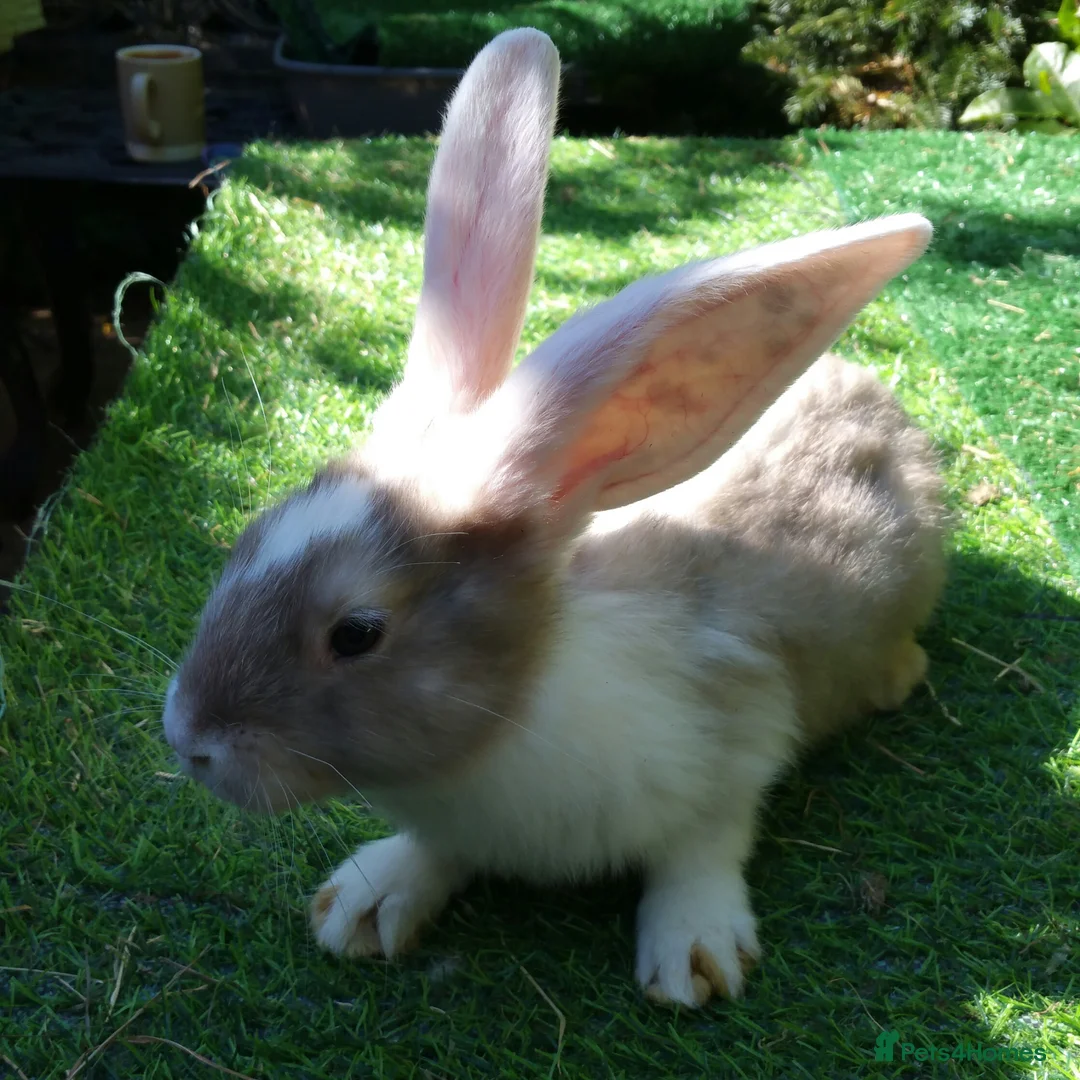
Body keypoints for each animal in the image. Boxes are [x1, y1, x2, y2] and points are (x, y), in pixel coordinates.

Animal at [161, 27, 946, 1008]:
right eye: (250, 537)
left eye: (358, 633)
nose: (188, 741)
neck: (517, 712)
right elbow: (433, 853)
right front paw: (366, 903)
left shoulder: (737, 734)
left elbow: (704, 846)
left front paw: (691, 955)